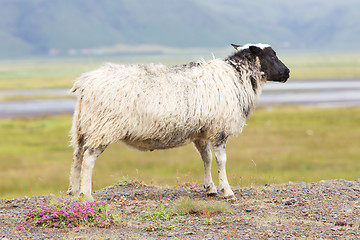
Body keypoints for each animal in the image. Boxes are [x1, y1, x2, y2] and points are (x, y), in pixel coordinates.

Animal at [67, 43, 290, 199]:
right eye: (272, 55)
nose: (288, 73)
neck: (237, 76)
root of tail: (85, 83)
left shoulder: (201, 132)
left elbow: (207, 158)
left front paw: (210, 188)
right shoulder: (219, 129)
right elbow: (221, 160)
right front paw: (226, 191)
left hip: (83, 126)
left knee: (77, 156)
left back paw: (72, 191)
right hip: (103, 126)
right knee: (88, 158)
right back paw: (86, 194)